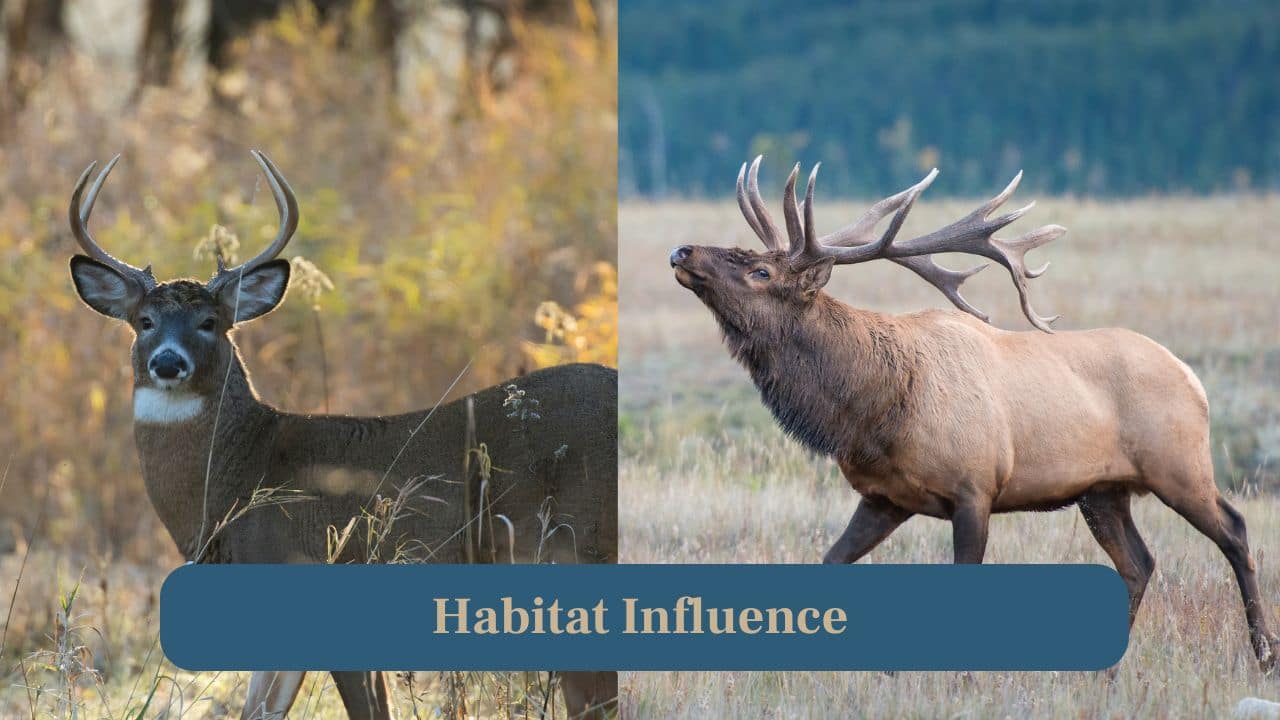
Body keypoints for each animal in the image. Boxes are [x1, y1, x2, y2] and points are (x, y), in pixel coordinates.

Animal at [668, 155, 1279, 671]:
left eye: (762, 272)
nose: (682, 252)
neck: (872, 413)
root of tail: (1192, 377)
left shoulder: (975, 487)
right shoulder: (884, 497)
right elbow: (830, 563)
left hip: (1178, 462)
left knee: (1234, 530)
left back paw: (1263, 653)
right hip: (1102, 490)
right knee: (1139, 562)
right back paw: (1106, 669)